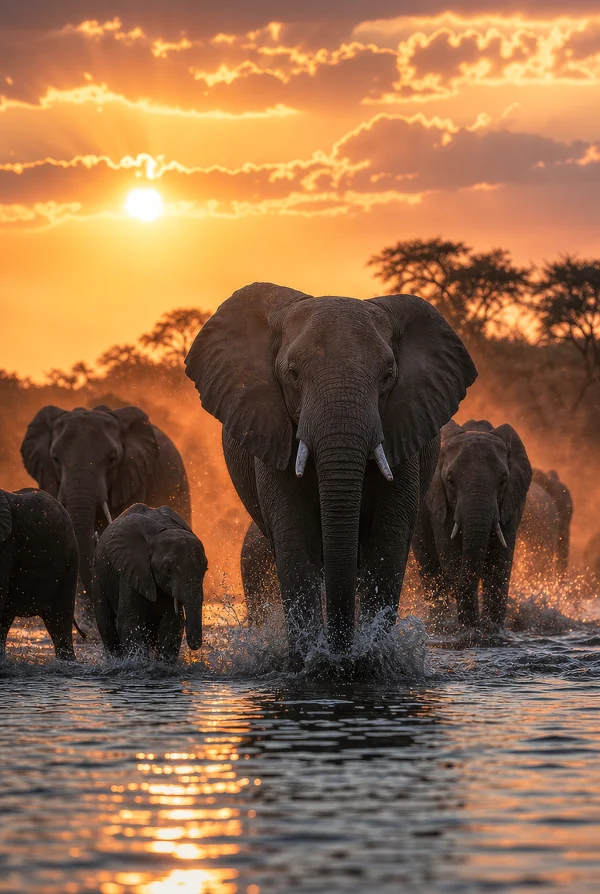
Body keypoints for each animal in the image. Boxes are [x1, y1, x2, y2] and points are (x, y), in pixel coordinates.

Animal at [93, 503, 207, 661]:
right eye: (167, 569)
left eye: (205, 569)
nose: (195, 646)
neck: (163, 530)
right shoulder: (131, 568)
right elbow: (131, 621)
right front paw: (139, 663)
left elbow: (173, 622)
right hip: (98, 575)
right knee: (105, 623)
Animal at [185, 282, 476, 664]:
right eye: (293, 375)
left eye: (387, 377)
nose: (342, 651)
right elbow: (295, 541)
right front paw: (316, 661)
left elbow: (387, 542)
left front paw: (364, 658)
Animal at [412, 419, 532, 637]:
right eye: (450, 480)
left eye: (503, 481)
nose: (476, 625)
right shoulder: (439, 502)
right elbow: (452, 557)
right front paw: (470, 630)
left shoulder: (512, 503)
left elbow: (500, 564)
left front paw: (491, 629)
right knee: (430, 569)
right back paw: (440, 626)